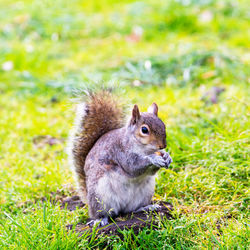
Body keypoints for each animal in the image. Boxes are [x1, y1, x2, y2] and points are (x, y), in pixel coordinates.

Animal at [67, 90, 172, 227]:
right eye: (144, 130)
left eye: (163, 125)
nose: (162, 146)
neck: (144, 148)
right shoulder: (120, 152)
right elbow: (133, 167)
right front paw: (154, 158)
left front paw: (167, 156)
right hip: (100, 196)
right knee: (104, 213)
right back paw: (100, 219)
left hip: (145, 193)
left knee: (133, 209)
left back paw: (147, 207)